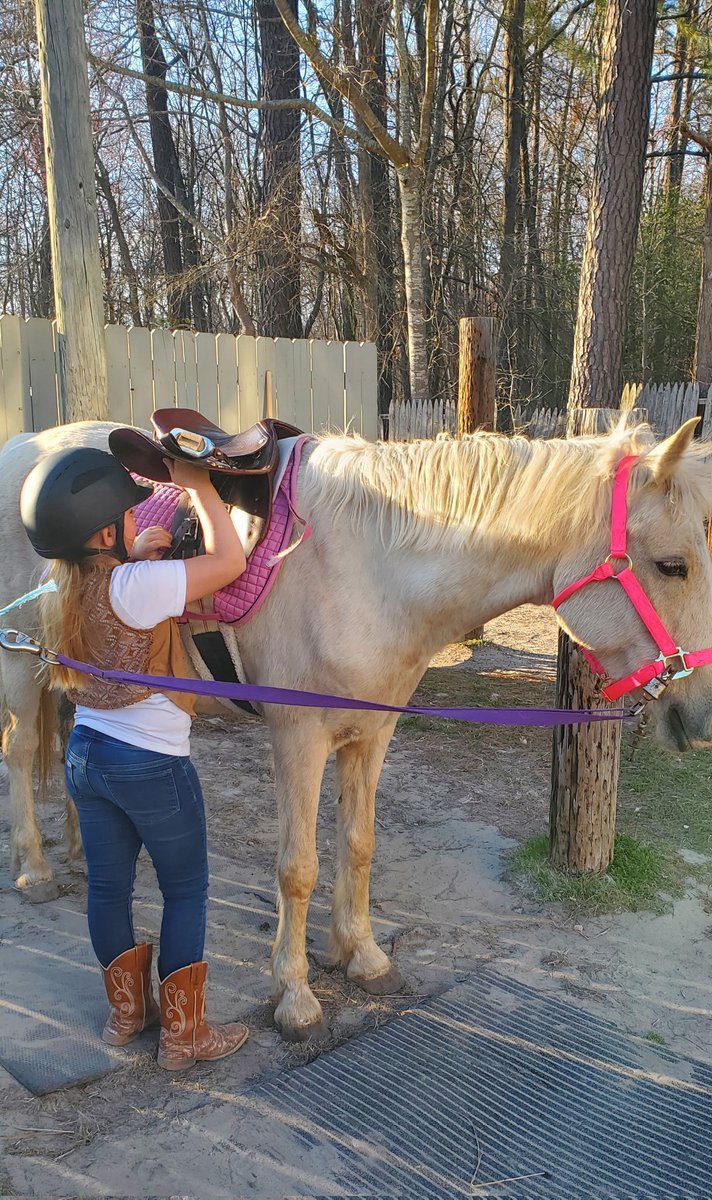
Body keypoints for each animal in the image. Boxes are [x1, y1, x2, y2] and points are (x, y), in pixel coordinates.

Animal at [1, 422, 710, 1041]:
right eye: (672, 565)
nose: (698, 716)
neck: (371, 570)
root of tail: (25, 443)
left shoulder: (370, 736)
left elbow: (359, 844)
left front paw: (361, 954)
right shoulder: (297, 738)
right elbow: (298, 868)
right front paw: (295, 995)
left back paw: (77, 852)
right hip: (21, 664)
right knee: (24, 751)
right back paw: (35, 869)